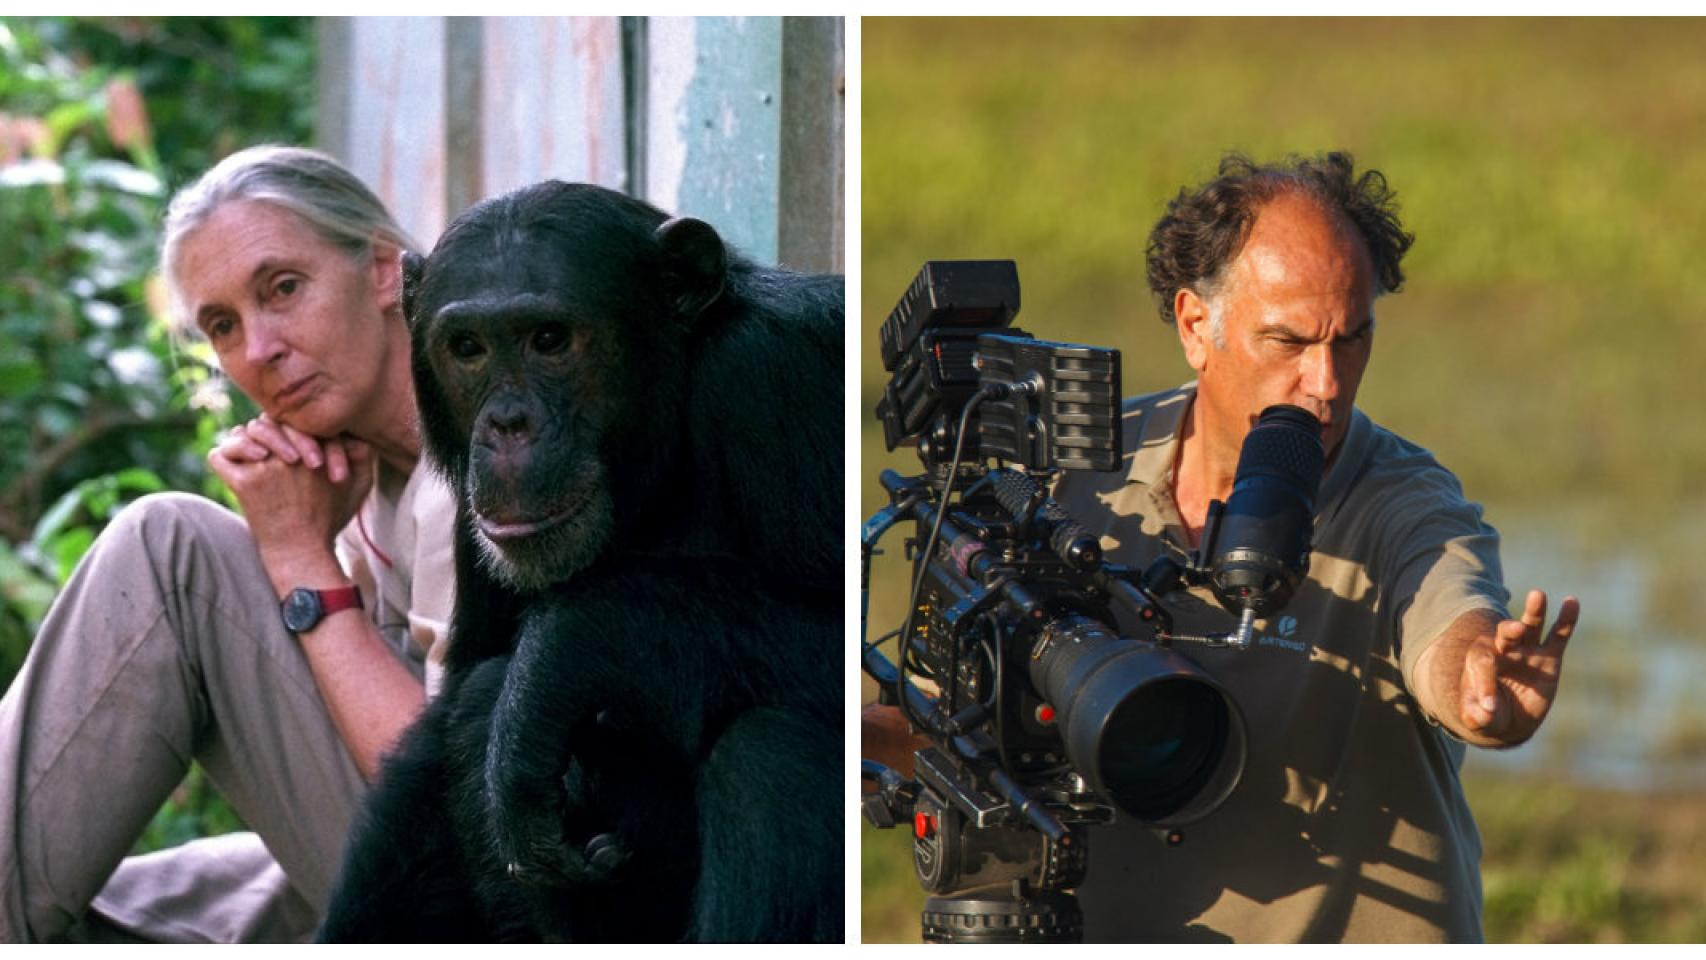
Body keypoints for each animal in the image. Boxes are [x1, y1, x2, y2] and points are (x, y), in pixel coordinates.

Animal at [317, 184, 842, 941]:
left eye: (549, 340)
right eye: (468, 349)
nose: (507, 424)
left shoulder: (778, 381)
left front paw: (566, 651)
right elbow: (454, 698)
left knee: (771, 753)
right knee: (478, 700)